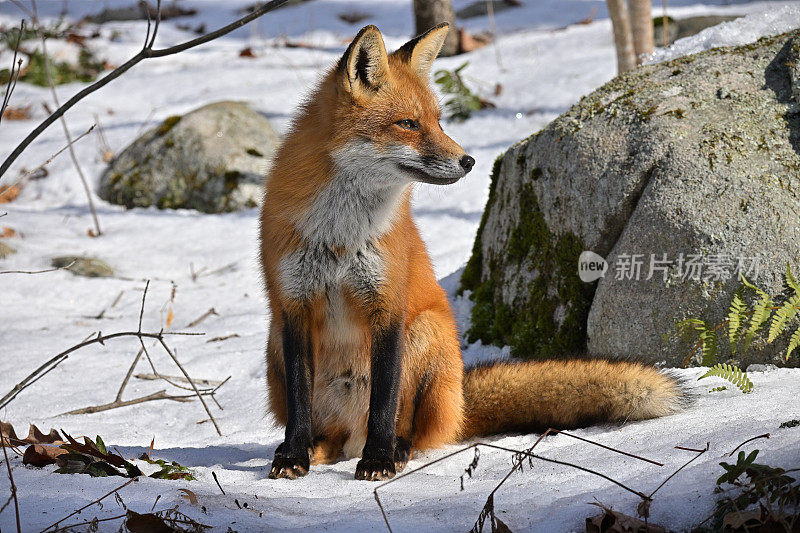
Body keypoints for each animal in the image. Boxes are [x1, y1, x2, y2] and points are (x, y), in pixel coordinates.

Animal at [260, 22, 684, 480]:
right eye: (407, 123)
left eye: (438, 120)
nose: (469, 161)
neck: (340, 233)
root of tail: (460, 403)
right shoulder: (293, 306)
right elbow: (300, 403)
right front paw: (293, 455)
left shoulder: (387, 306)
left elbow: (384, 401)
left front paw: (379, 459)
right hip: (274, 343)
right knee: (330, 434)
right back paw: (317, 448)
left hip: (426, 333)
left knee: (413, 428)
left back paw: (396, 450)